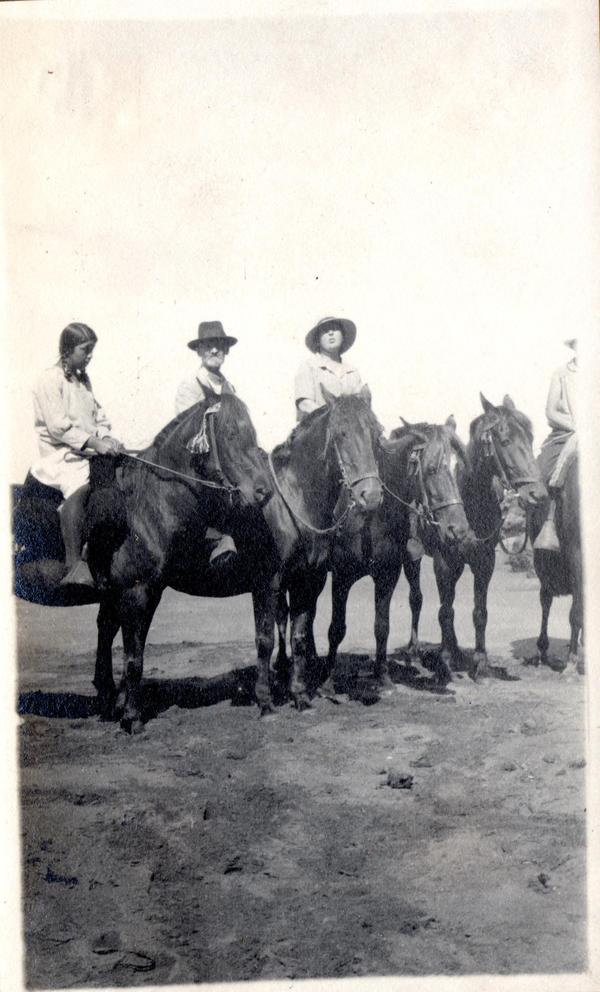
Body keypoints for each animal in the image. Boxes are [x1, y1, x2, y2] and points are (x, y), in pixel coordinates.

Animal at [326, 418, 476, 688]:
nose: (459, 530)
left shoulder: (389, 574)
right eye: (431, 469)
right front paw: (329, 677)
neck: (369, 520)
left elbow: (382, 625)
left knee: (417, 599)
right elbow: (336, 628)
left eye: (459, 468)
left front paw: (382, 675)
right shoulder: (341, 576)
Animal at [434, 396, 548, 680]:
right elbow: (445, 611)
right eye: (505, 441)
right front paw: (444, 663)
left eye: (531, 439)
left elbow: (479, 613)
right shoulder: (443, 562)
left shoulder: (484, 563)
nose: (538, 494)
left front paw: (480, 663)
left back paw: (457, 652)